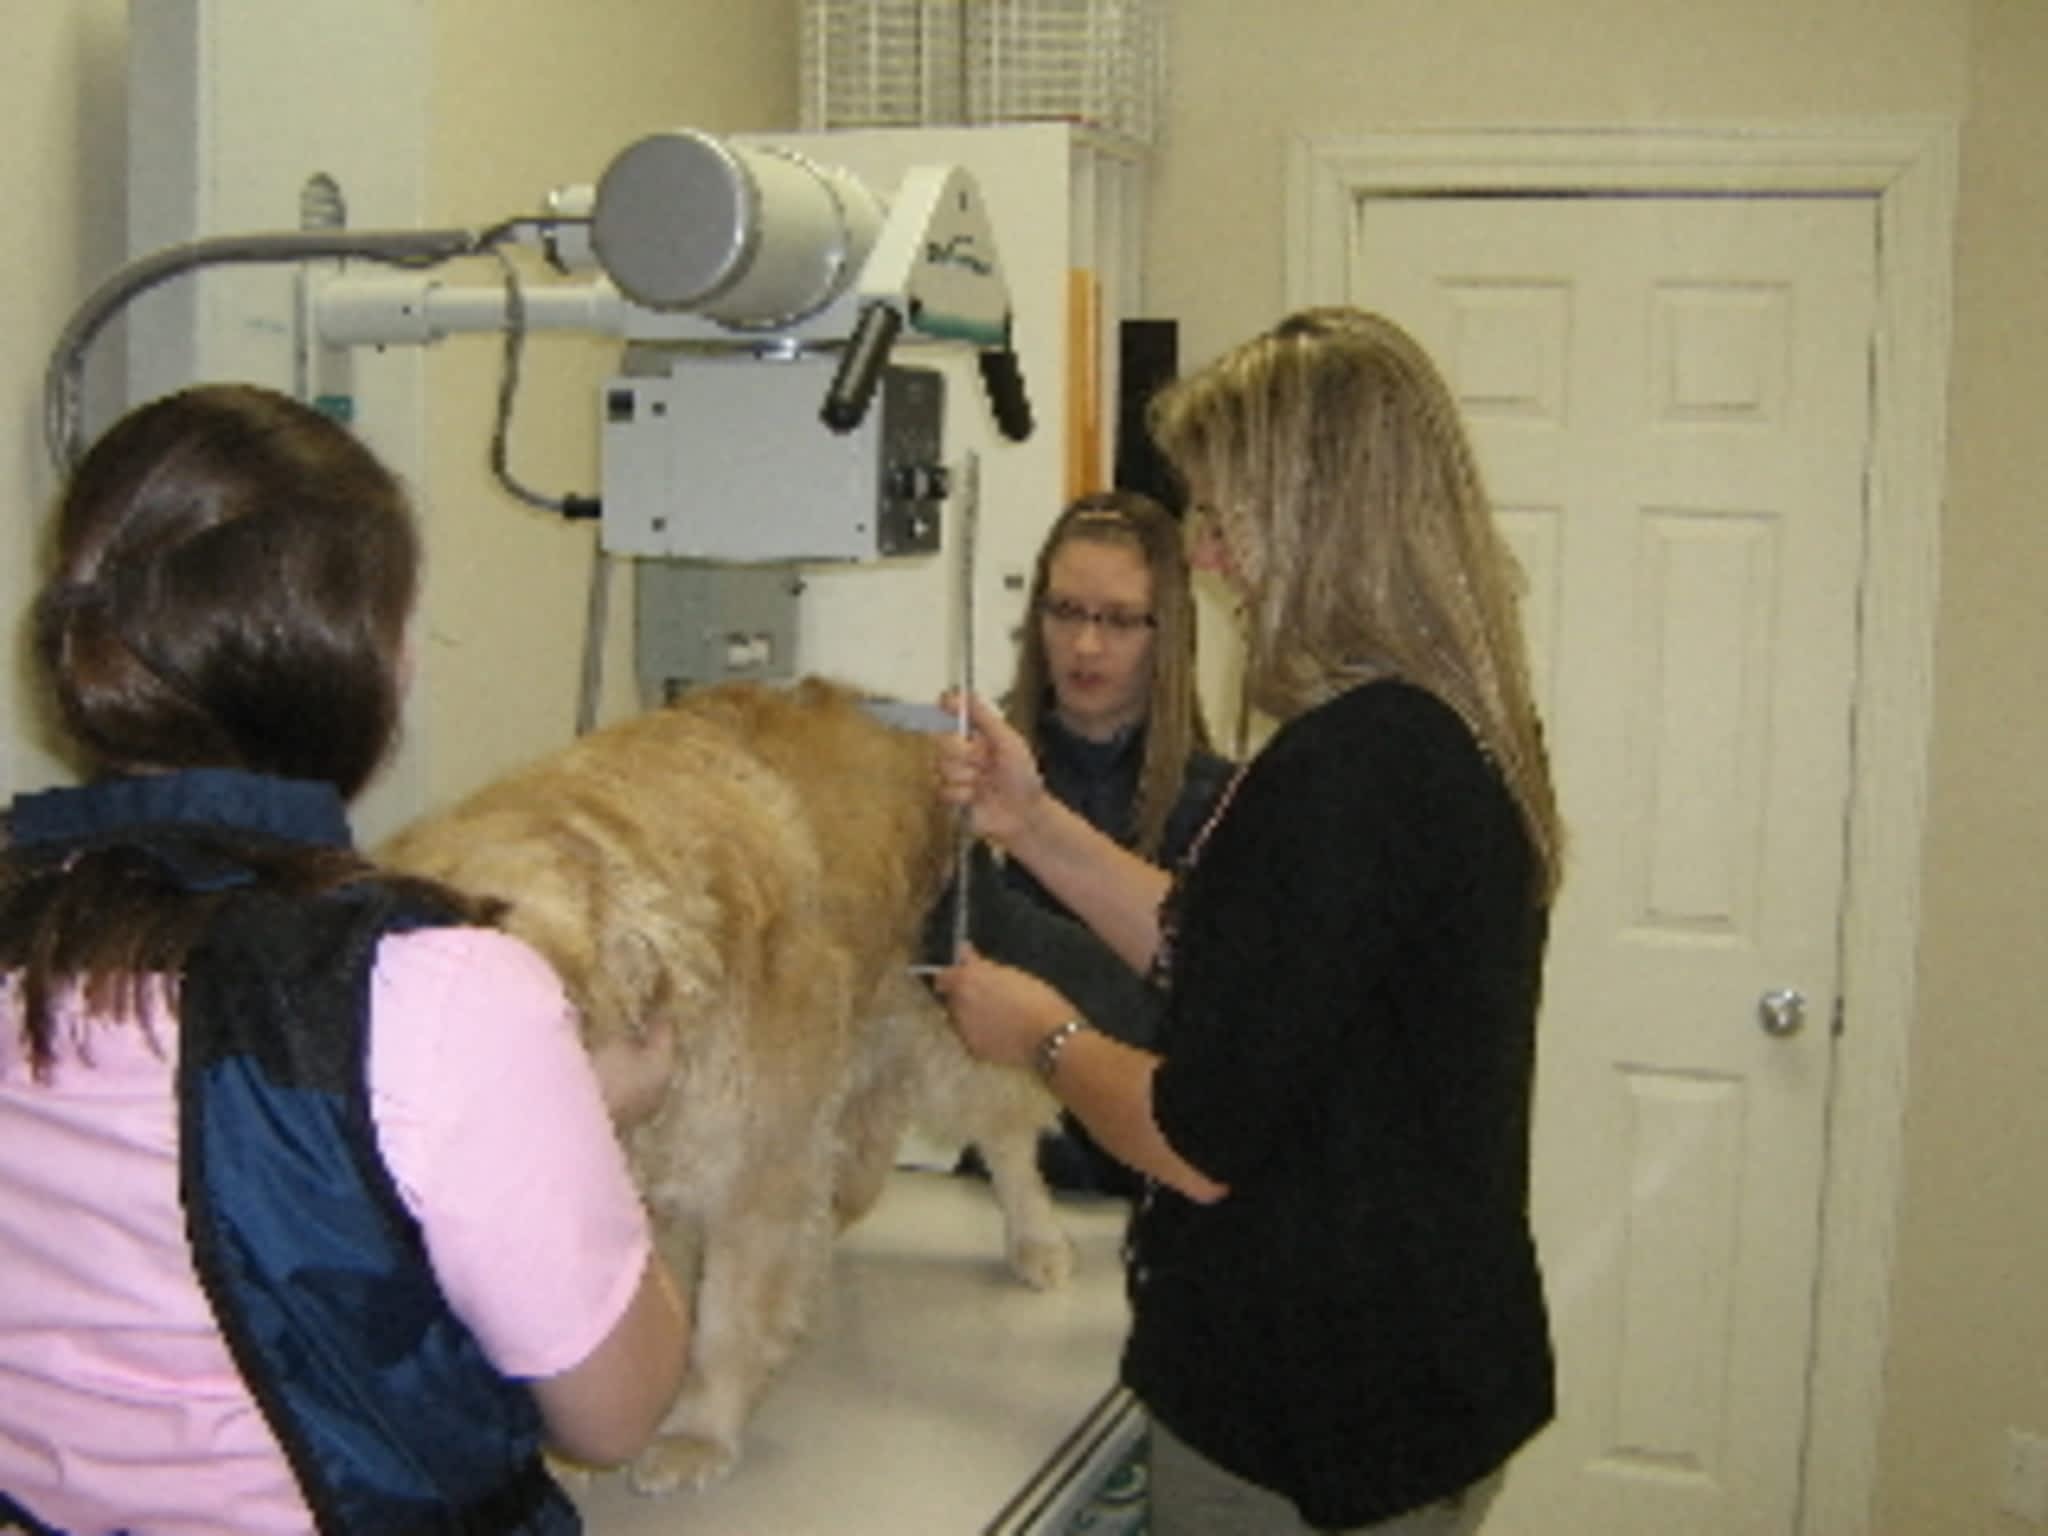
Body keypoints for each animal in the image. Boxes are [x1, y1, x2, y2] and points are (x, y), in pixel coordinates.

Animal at [378, 671, 1073, 1490]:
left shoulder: (761, 1159)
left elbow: (729, 1314)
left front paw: (698, 1430)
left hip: (948, 1014)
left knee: (1007, 1125)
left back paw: (1036, 1236)